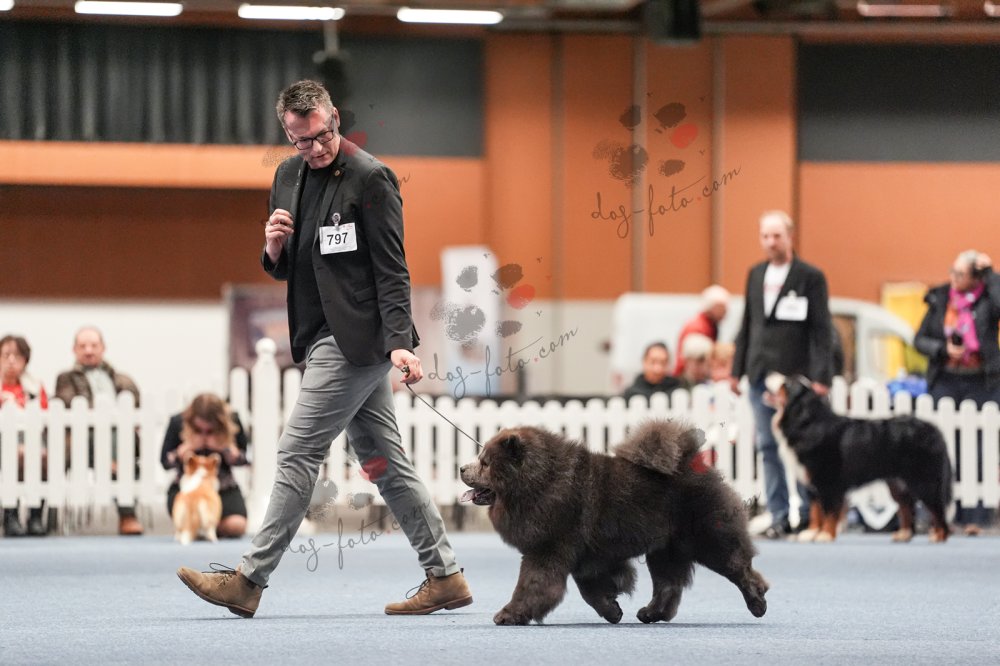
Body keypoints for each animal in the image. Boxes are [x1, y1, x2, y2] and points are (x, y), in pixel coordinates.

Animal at [459, 420, 769, 625]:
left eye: (485, 463)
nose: (462, 468)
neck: (541, 482)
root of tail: (694, 462)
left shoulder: (548, 550)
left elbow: (532, 585)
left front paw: (509, 614)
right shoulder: (587, 558)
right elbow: (591, 590)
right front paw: (613, 610)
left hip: (706, 539)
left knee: (738, 567)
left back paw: (758, 602)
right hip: (664, 550)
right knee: (668, 585)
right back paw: (651, 613)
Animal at [766, 373, 953, 543]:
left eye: (786, 383)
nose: (769, 374)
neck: (806, 423)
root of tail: (934, 429)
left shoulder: (829, 483)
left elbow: (829, 512)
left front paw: (825, 535)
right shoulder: (813, 485)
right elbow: (815, 510)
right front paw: (811, 533)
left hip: (925, 481)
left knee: (937, 509)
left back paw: (939, 536)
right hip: (897, 484)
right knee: (906, 507)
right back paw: (904, 534)